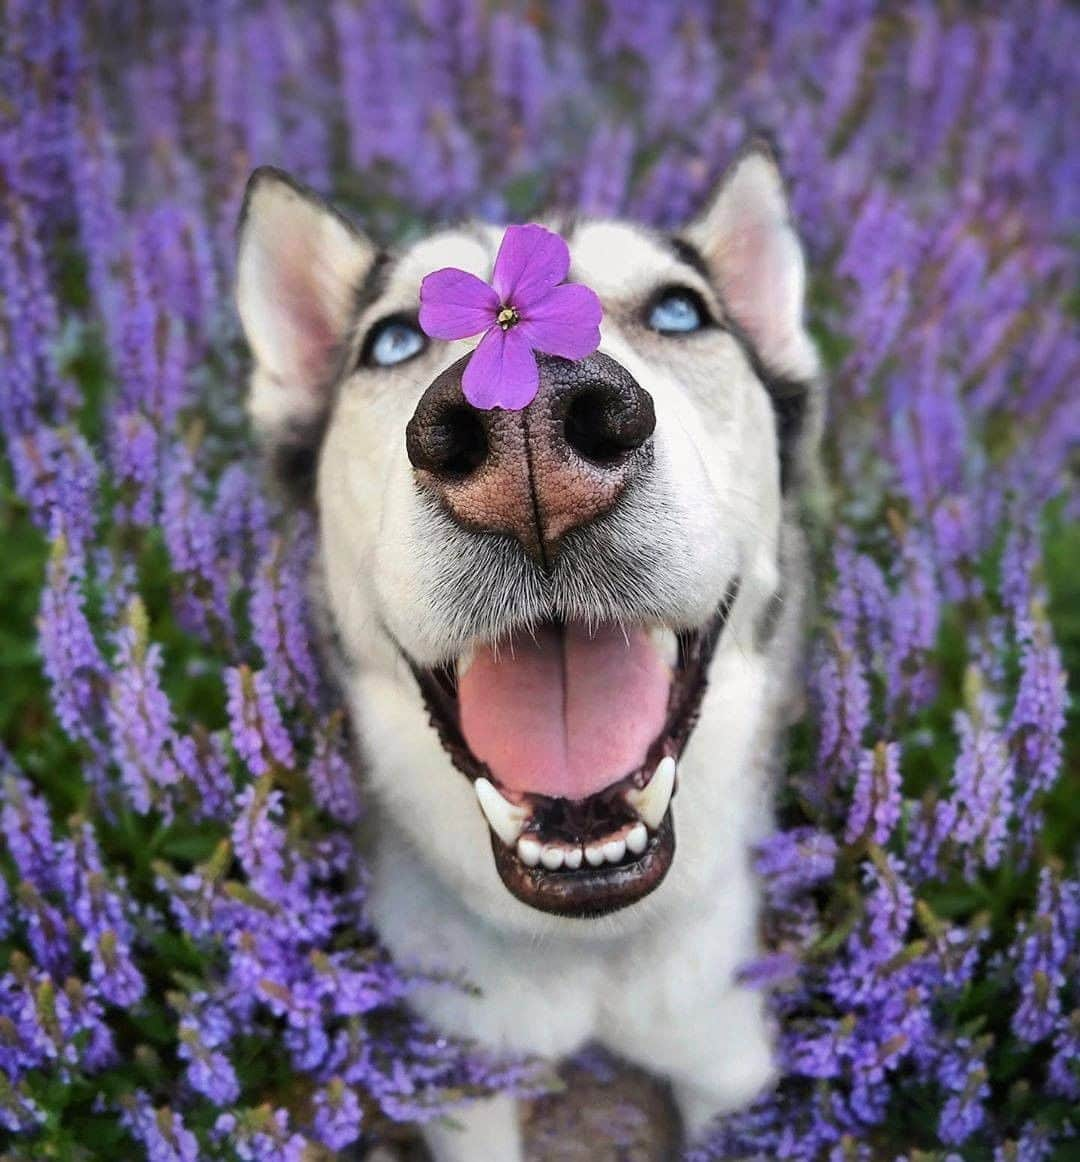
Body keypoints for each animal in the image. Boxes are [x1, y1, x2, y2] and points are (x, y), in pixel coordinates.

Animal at [235, 145, 823, 1162]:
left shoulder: (727, 1063)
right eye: (393, 341)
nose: (526, 433)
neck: (591, 939)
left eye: (680, 312)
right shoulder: (467, 1080)